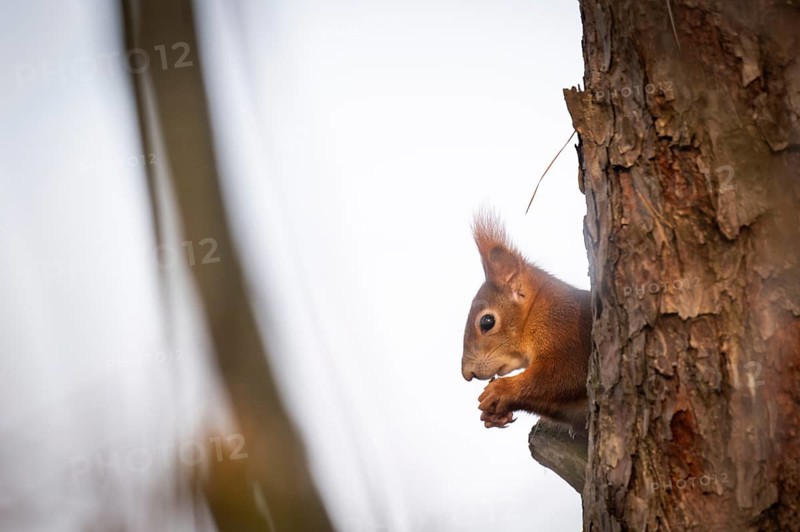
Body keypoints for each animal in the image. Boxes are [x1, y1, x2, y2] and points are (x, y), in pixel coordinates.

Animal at [461, 213, 592, 434]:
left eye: (487, 322)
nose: (467, 374)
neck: (537, 314)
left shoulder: (569, 335)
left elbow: (564, 376)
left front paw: (501, 389)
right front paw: (494, 415)